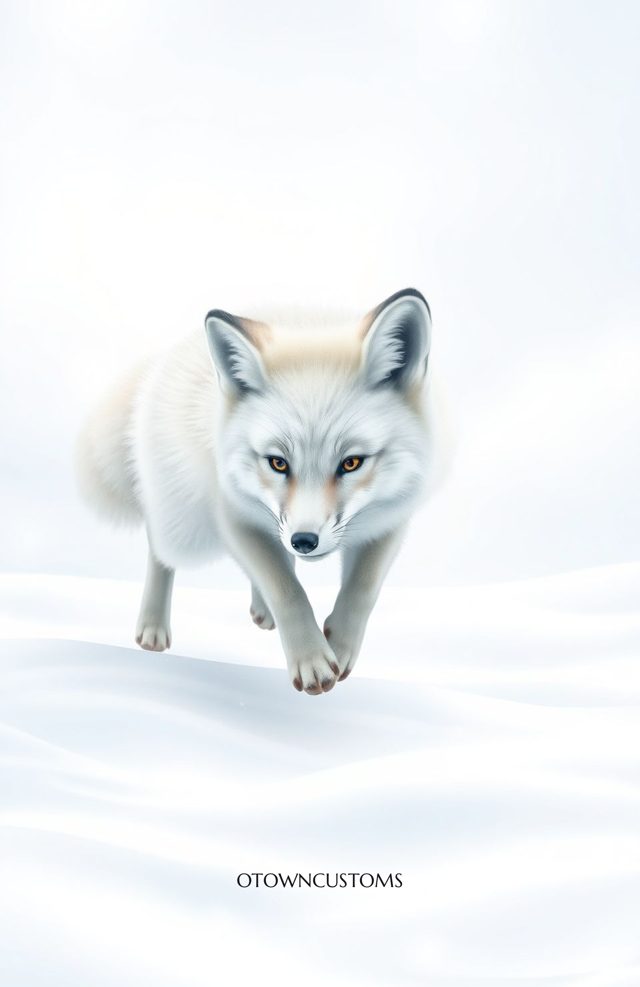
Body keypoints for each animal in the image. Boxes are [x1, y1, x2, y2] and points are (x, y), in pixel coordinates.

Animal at [76, 288, 444, 695]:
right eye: (278, 463)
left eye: (351, 463)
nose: (304, 541)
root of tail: (162, 363)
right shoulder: (234, 517)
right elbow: (287, 590)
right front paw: (311, 658)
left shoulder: (389, 519)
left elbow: (361, 589)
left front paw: (341, 644)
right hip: (184, 526)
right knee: (161, 549)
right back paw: (152, 624)